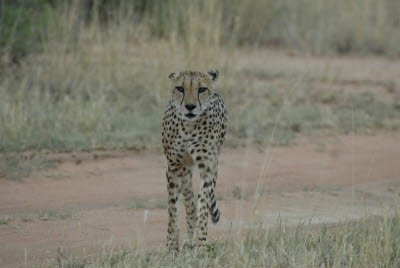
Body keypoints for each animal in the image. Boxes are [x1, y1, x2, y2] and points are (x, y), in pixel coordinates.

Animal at [161, 69, 227, 251]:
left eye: (202, 89)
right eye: (180, 88)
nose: (190, 107)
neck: (188, 127)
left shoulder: (209, 168)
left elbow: (203, 204)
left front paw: (200, 243)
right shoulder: (173, 167)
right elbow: (173, 208)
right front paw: (171, 246)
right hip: (185, 169)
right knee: (189, 199)